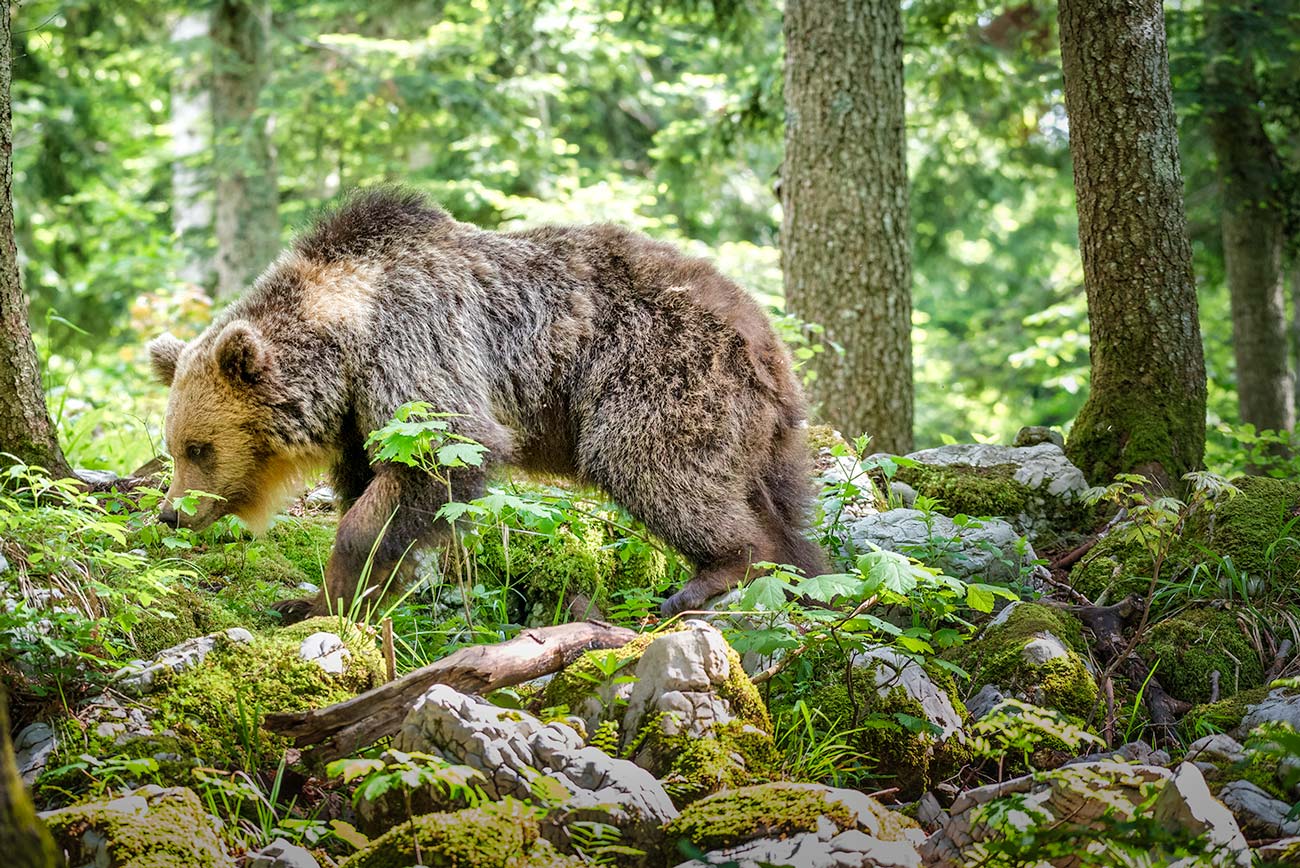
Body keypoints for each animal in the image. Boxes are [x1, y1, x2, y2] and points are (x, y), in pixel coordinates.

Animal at [149, 188, 821, 615]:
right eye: (175, 446)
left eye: (199, 447)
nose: (171, 513)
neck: (343, 343)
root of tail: (767, 336)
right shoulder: (361, 419)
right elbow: (380, 490)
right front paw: (323, 598)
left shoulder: (415, 343)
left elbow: (438, 457)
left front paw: (330, 595)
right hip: (756, 431)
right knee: (777, 506)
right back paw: (802, 572)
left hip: (657, 371)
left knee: (653, 464)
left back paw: (712, 574)